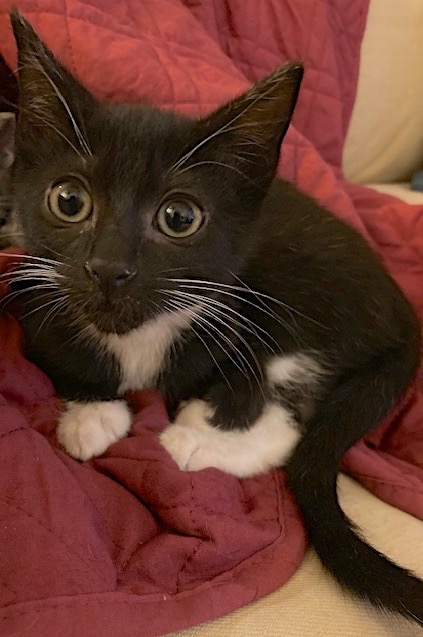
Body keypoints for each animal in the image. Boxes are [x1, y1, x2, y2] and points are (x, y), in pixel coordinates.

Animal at [5, 10, 423, 625]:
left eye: (180, 217)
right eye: (69, 201)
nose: (108, 268)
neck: (139, 336)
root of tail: (404, 317)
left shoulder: (240, 310)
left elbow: (255, 396)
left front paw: (187, 429)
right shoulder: (35, 296)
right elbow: (59, 350)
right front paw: (91, 414)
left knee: (293, 425)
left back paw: (191, 439)